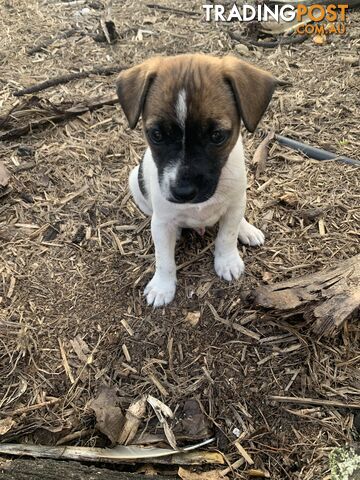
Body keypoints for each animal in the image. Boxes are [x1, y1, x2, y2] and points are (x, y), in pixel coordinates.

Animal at [116, 53, 278, 308]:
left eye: (217, 136)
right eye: (156, 135)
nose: (183, 192)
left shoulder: (234, 202)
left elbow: (227, 235)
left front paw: (227, 261)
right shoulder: (162, 219)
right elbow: (163, 257)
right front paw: (162, 286)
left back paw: (246, 228)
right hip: (135, 179)